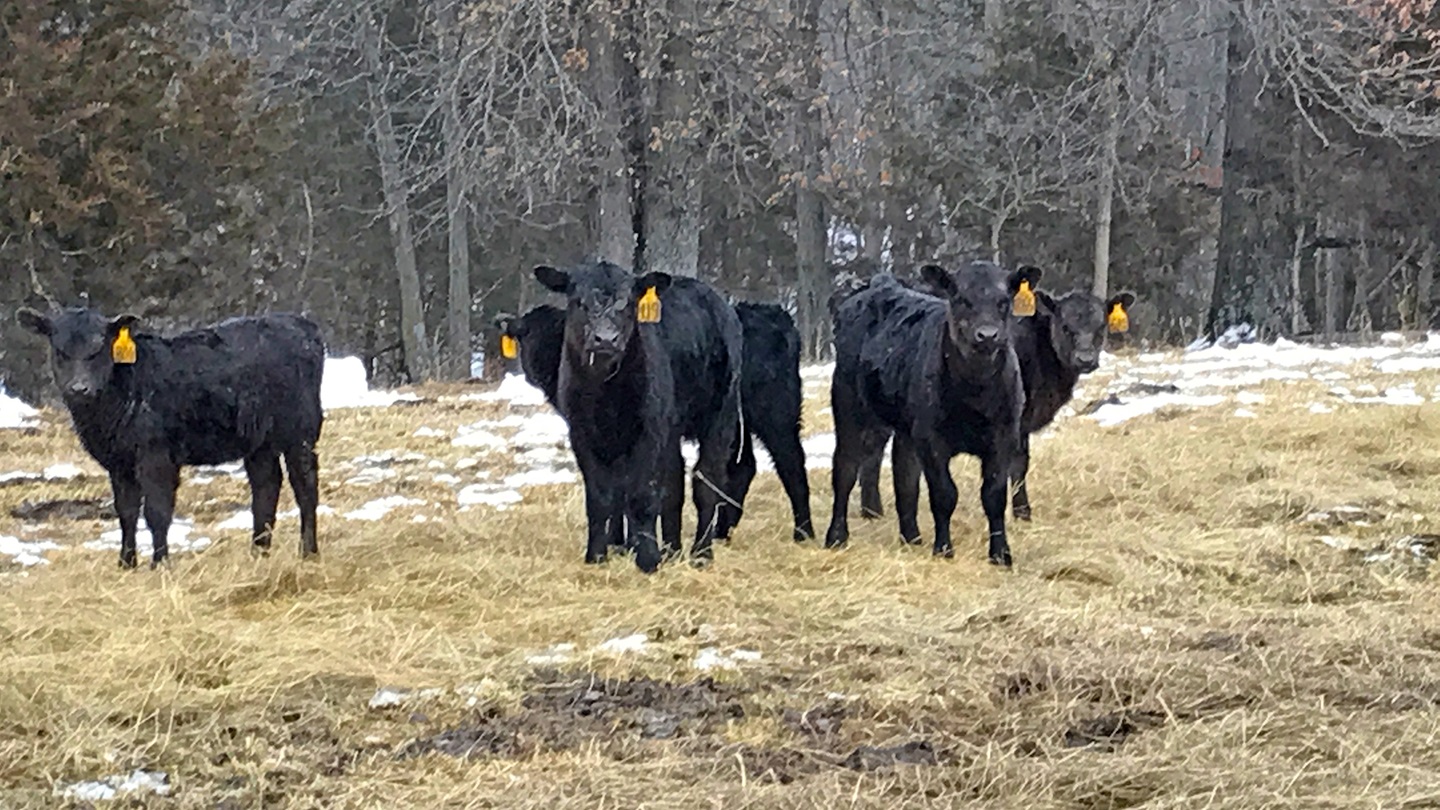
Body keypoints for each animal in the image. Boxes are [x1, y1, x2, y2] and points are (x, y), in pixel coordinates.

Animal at [15, 307, 326, 569]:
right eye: (60, 351)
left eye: (100, 348)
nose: (80, 388)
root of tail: (300, 323)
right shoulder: (119, 462)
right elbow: (126, 512)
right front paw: (126, 563)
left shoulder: (156, 456)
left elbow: (157, 511)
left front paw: (160, 563)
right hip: (259, 440)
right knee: (266, 486)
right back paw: (258, 552)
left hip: (301, 429)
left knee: (305, 486)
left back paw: (308, 552)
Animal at [531, 260, 744, 573]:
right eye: (579, 301)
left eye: (629, 302)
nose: (605, 339)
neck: (604, 394)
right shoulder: (581, 434)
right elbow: (601, 498)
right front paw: (597, 555)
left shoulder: (648, 431)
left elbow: (641, 495)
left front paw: (647, 559)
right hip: (671, 429)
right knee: (674, 484)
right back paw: (672, 550)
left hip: (720, 417)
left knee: (706, 481)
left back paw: (701, 553)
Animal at [825, 262, 1037, 566]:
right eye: (961, 299)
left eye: (1004, 301)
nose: (987, 335)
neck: (976, 392)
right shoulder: (932, 440)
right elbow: (944, 494)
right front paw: (944, 549)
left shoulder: (1004, 436)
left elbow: (994, 496)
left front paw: (1001, 554)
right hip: (849, 407)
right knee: (845, 469)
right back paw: (836, 537)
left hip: (906, 427)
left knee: (904, 474)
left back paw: (911, 537)